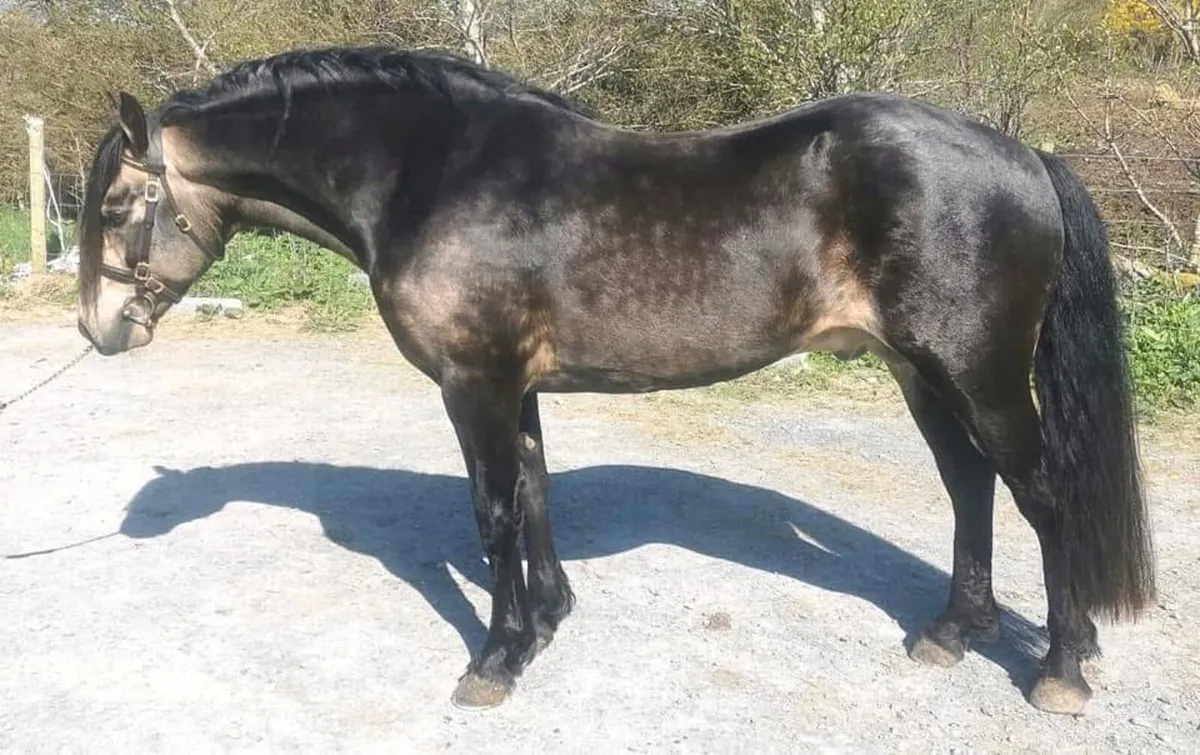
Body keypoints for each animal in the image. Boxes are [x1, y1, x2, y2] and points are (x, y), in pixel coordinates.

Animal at [75, 46, 1154, 716]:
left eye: (120, 205)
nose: (97, 330)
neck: (431, 175)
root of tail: (1022, 153)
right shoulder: (516, 384)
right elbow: (534, 492)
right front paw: (546, 624)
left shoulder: (473, 382)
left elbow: (492, 512)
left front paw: (495, 659)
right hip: (919, 371)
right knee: (970, 487)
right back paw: (953, 631)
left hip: (978, 374)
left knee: (1043, 498)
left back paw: (1062, 668)